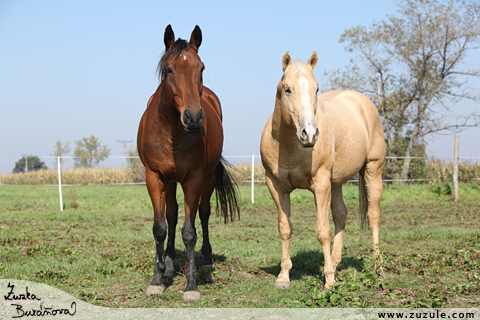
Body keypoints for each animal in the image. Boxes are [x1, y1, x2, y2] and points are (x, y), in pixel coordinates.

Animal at [137, 25, 238, 302]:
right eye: (170, 69)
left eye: (201, 68)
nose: (193, 117)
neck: (171, 130)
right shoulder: (154, 177)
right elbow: (160, 227)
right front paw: (157, 278)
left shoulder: (193, 178)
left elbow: (190, 232)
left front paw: (191, 285)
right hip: (171, 181)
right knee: (171, 216)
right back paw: (170, 264)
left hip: (207, 178)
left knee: (203, 214)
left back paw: (207, 261)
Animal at [258, 51, 386, 288]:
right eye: (287, 89)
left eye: (316, 89)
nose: (309, 134)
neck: (290, 145)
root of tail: (363, 102)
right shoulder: (276, 186)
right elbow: (285, 228)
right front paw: (283, 276)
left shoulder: (320, 184)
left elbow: (323, 231)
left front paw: (329, 282)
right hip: (336, 183)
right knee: (341, 215)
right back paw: (334, 263)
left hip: (372, 170)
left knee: (373, 217)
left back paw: (378, 269)